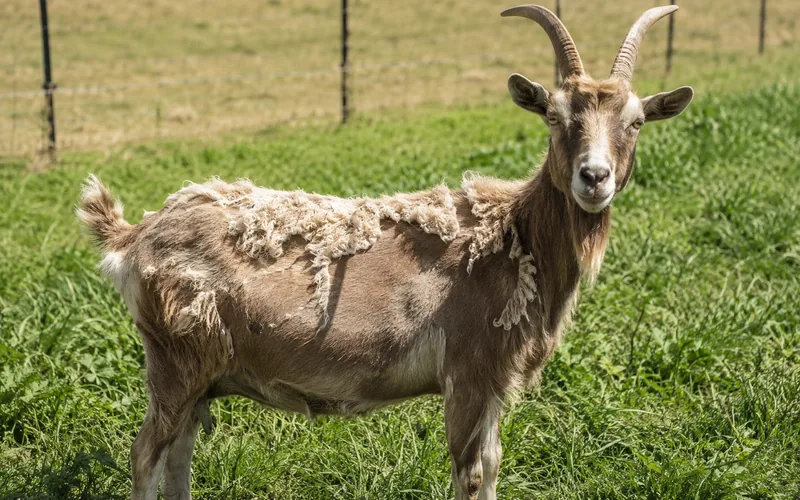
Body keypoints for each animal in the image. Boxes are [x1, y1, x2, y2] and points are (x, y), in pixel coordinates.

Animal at [77, 5, 694, 499]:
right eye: (555, 116)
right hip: (174, 360)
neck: (515, 235)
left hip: (199, 369)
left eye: (636, 121)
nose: (594, 178)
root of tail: (133, 235)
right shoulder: (469, 370)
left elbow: (493, 466)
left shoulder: (494, 380)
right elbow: (471, 472)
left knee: (178, 452)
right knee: (146, 453)